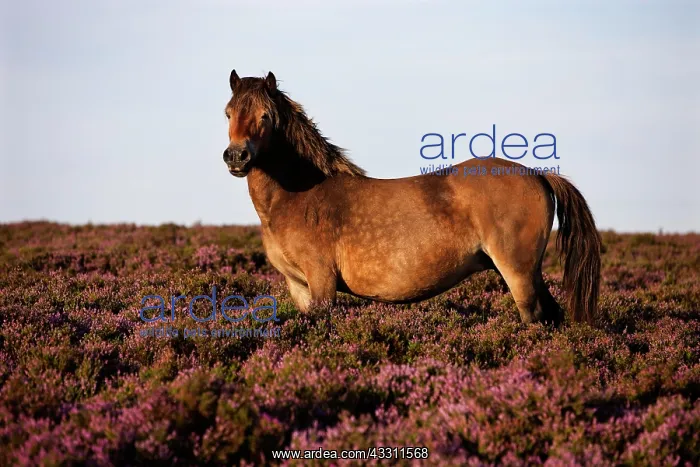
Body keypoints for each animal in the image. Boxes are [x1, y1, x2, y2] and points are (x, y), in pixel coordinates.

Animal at [222, 70, 603, 325]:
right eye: (228, 113)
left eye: (265, 116)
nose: (236, 156)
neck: (300, 195)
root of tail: (538, 174)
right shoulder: (298, 287)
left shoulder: (322, 282)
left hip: (518, 272)